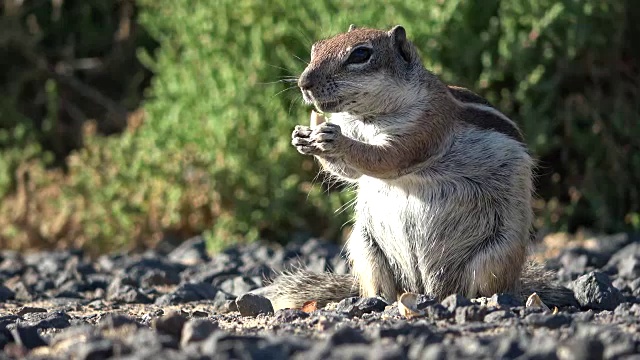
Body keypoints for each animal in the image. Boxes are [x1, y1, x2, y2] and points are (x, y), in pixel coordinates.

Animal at [252, 24, 576, 310]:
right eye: (316, 48)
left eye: (360, 54)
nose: (303, 84)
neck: (367, 120)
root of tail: (429, 289)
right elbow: (352, 173)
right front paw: (301, 137)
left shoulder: (427, 126)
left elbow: (386, 158)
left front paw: (335, 139)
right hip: (365, 248)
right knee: (384, 287)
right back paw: (376, 300)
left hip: (496, 255)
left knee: (484, 285)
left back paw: (482, 299)